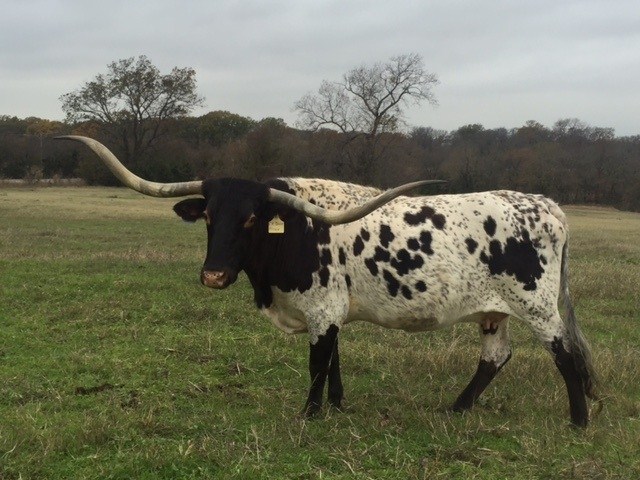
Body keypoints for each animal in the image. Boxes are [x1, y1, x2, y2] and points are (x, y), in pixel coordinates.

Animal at [58, 135, 597, 427]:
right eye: (209, 216)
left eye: (251, 218)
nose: (213, 275)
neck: (293, 231)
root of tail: (546, 205)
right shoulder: (333, 310)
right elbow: (334, 357)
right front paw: (336, 406)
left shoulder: (320, 308)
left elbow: (318, 362)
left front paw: (310, 413)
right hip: (493, 309)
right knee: (495, 357)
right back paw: (457, 408)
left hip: (537, 306)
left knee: (566, 355)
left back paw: (578, 420)